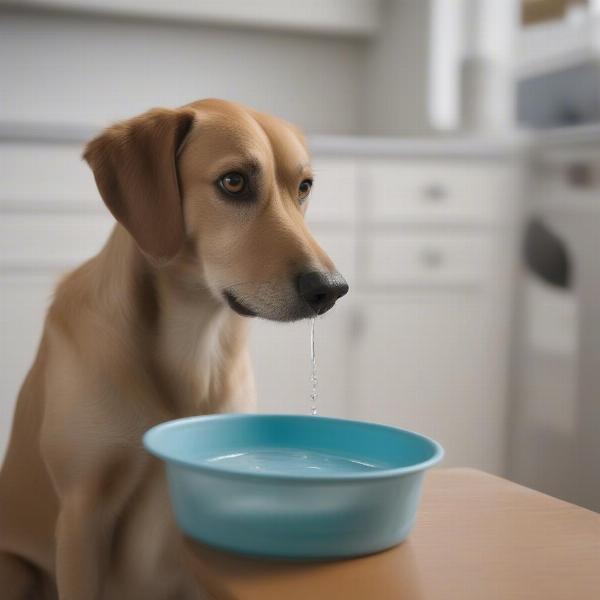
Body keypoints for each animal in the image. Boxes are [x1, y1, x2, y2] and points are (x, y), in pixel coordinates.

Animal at [0, 99, 346, 600]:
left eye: (304, 187)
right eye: (234, 181)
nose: (332, 289)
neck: (192, 341)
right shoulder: (83, 515)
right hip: (15, 567)